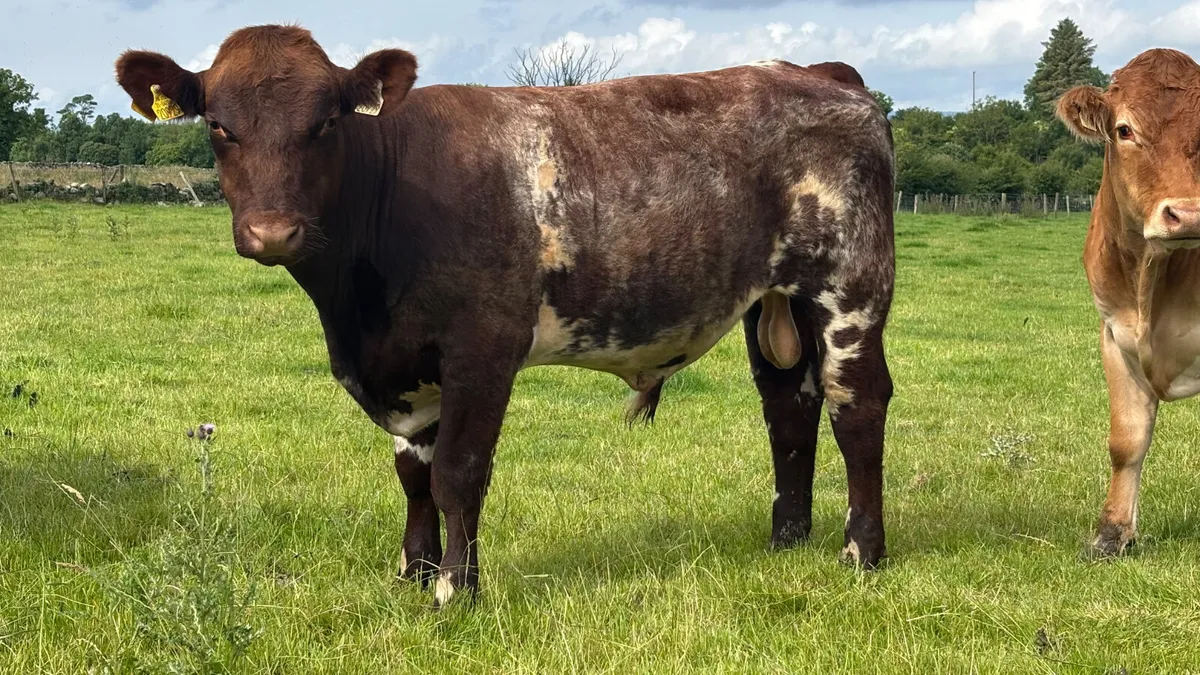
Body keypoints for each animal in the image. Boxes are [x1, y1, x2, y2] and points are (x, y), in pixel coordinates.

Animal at [115, 25, 896, 606]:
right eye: (220, 126)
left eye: (326, 122)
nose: (273, 231)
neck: (356, 310)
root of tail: (821, 72)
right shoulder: (404, 367)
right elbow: (413, 474)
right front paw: (414, 573)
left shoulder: (483, 348)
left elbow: (457, 472)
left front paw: (456, 591)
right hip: (774, 298)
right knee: (788, 406)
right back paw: (786, 541)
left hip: (851, 286)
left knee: (855, 403)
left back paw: (861, 551)